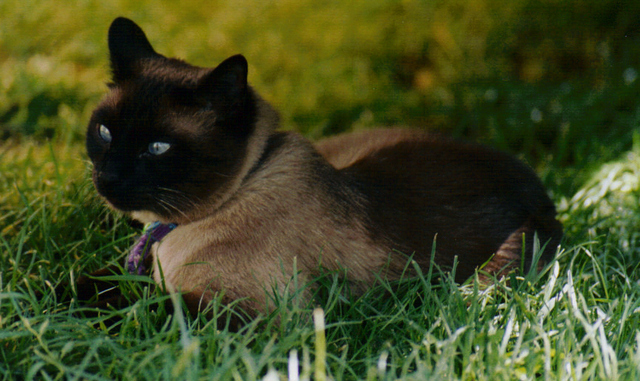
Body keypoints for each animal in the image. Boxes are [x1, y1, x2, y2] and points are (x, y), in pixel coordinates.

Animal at [82, 17, 564, 320]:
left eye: (157, 148)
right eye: (104, 132)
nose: (108, 178)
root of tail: (536, 186)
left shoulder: (244, 312)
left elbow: (132, 305)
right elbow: (95, 281)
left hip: (495, 271)